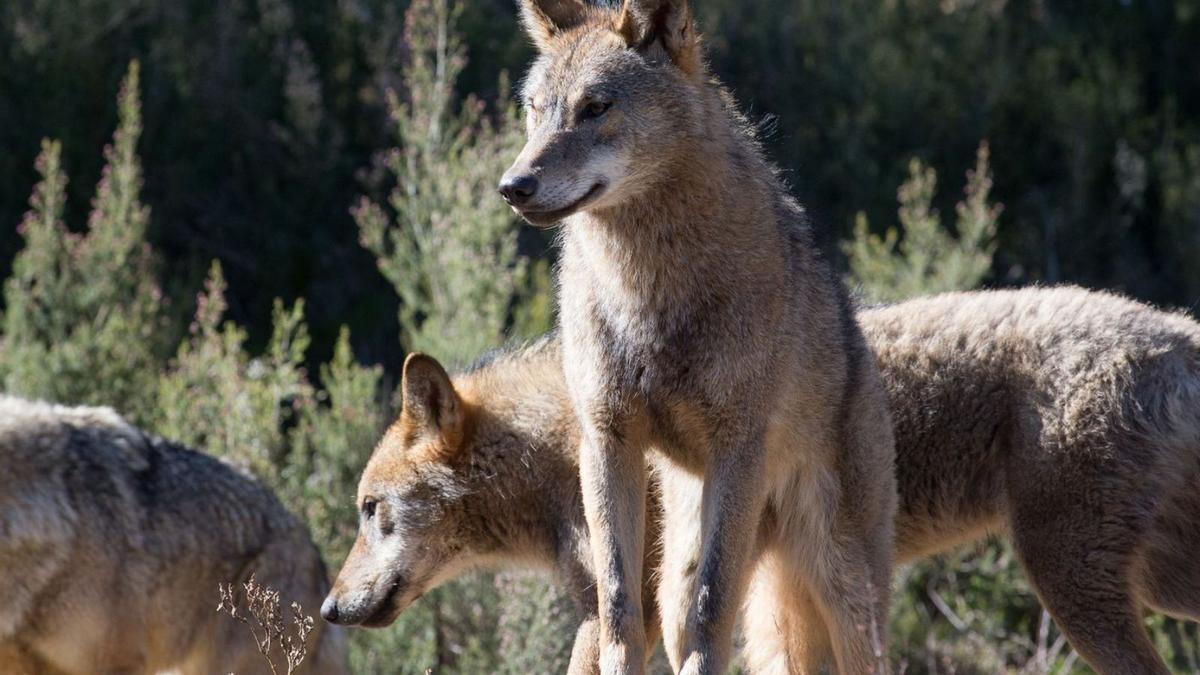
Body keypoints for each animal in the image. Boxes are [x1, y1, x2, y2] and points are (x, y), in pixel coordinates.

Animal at [319, 284, 1200, 672]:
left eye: (370, 510)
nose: (328, 608)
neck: (561, 448)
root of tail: (1177, 331)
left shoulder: (630, 612)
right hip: (1149, 587)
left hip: (1076, 588)